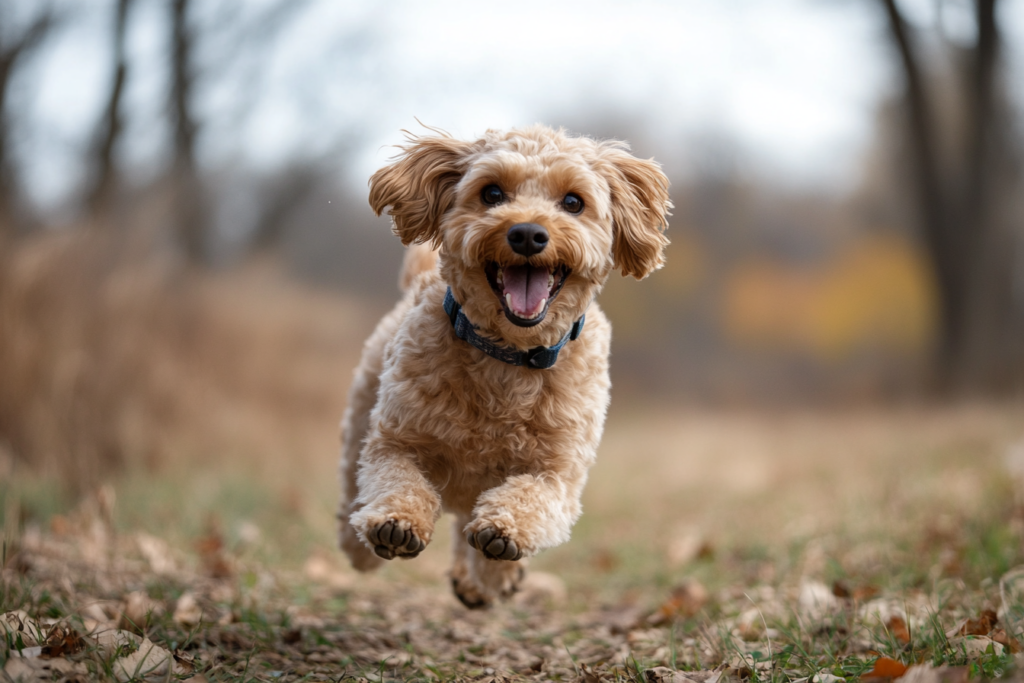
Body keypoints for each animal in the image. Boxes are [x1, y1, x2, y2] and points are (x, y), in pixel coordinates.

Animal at [335, 124, 671, 610]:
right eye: (491, 193)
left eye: (573, 202)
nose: (527, 233)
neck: (508, 356)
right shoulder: (396, 440)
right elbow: (397, 479)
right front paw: (394, 523)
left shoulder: (558, 473)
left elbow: (530, 499)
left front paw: (501, 539)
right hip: (361, 415)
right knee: (352, 488)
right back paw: (358, 541)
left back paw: (484, 580)